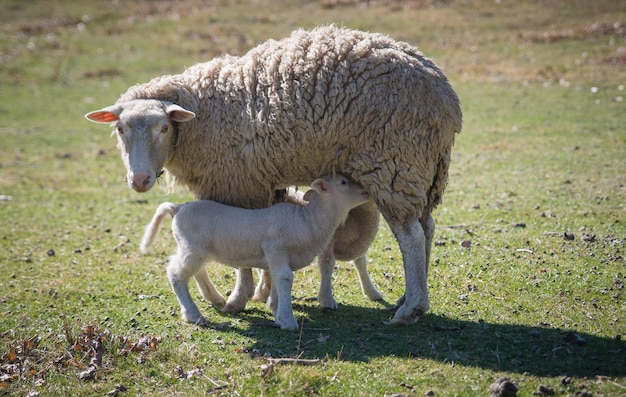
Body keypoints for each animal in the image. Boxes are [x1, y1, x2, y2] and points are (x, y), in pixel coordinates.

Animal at [140, 175, 370, 330]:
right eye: (343, 182)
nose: (367, 190)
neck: (307, 220)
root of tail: (178, 208)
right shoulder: (276, 249)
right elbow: (285, 278)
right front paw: (287, 320)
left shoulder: (278, 257)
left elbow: (277, 279)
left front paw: (276, 309)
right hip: (192, 248)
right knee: (176, 274)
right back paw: (193, 314)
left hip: (196, 249)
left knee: (195, 271)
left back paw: (214, 297)